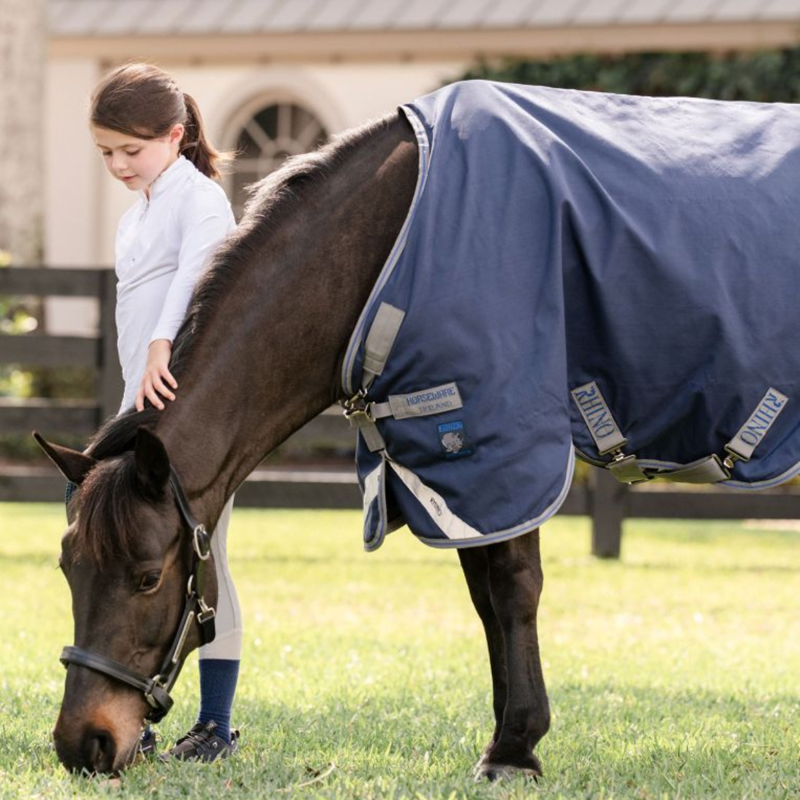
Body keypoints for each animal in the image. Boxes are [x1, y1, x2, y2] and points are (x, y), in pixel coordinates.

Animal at [37, 80, 800, 777]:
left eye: (145, 578)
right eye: (68, 567)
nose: (84, 745)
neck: (395, 239)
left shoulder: (500, 444)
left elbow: (514, 587)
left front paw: (515, 750)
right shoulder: (450, 472)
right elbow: (485, 598)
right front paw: (505, 737)